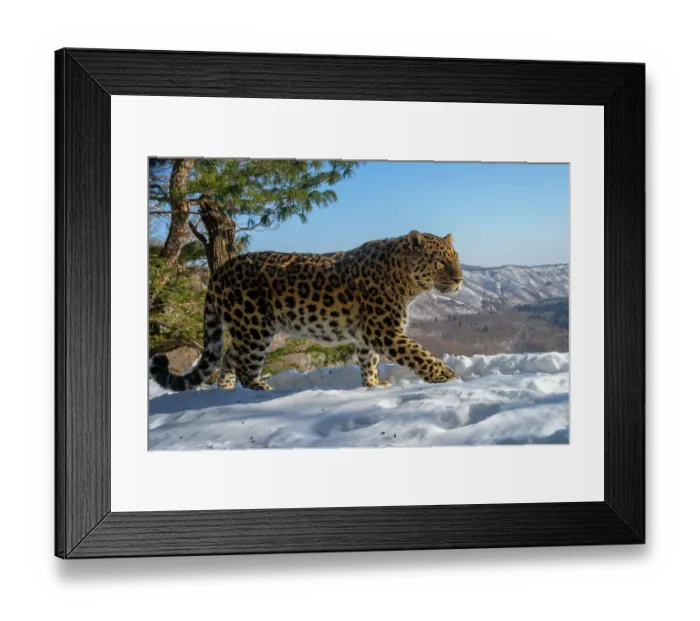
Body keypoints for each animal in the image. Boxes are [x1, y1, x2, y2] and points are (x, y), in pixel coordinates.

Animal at [149, 230, 464, 392]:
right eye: (439, 262)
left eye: (457, 258)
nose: (460, 279)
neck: (406, 282)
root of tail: (218, 272)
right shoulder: (383, 330)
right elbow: (419, 354)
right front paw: (449, 378)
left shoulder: (367, 334)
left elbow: (369, 361)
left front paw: (373, 385)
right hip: (255, 327)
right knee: (244, 365)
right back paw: (260, 389)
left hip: (248, 328)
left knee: (228, 354)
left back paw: (225, 389)